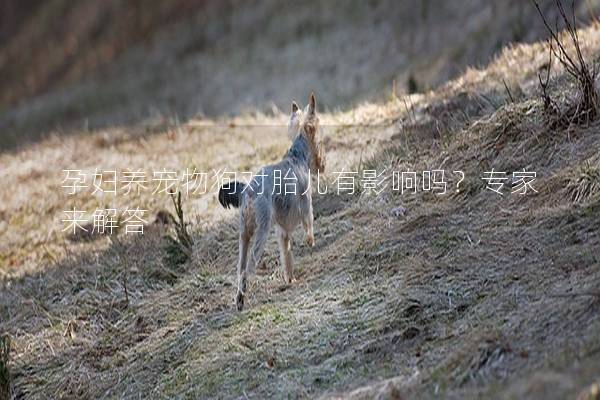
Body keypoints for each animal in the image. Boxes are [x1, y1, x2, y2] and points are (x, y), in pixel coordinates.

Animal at [219, 93, 326, 310]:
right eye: (320, 142)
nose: (322, 164)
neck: (297, 157)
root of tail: (248, 191)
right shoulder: (306, 206)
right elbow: (309, 224)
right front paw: (310, 241)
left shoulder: (282, 231)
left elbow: (287, 254)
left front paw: (290, 278)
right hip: (262, 230)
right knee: (249, 267)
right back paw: (243, 297)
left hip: (244, 234)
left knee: (240, 266)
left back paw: (238, 297)